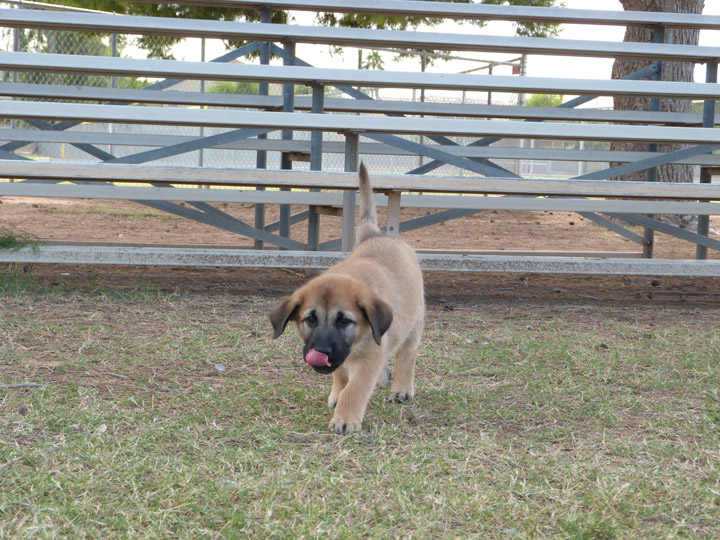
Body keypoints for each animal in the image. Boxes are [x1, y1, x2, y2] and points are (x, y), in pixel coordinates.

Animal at [270, 162, 422, 432]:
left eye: (344, 321)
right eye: (310, 319)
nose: (320, 352)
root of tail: (374, 235)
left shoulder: (370, 355)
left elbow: (356, 388)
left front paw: (345, 417)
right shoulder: (355, 353)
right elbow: (342, 375)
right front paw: (337, 393)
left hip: (414, 324)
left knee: (407, 354)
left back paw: (402, 389)